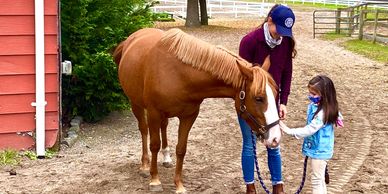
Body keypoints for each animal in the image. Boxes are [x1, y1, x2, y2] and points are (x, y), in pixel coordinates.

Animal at [113, 28, 282, 193]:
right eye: (259, 98)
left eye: (276, 93)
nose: (275, 138)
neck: (178, 74)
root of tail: (131, 39)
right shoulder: (154, 112)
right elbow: (154, 144)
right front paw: (155, 180)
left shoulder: (189, 116)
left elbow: (181, 149)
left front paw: (179, 185)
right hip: (136, 104)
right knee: (144, 130)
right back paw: (144, 165)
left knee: (164, 126)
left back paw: (166, 157)